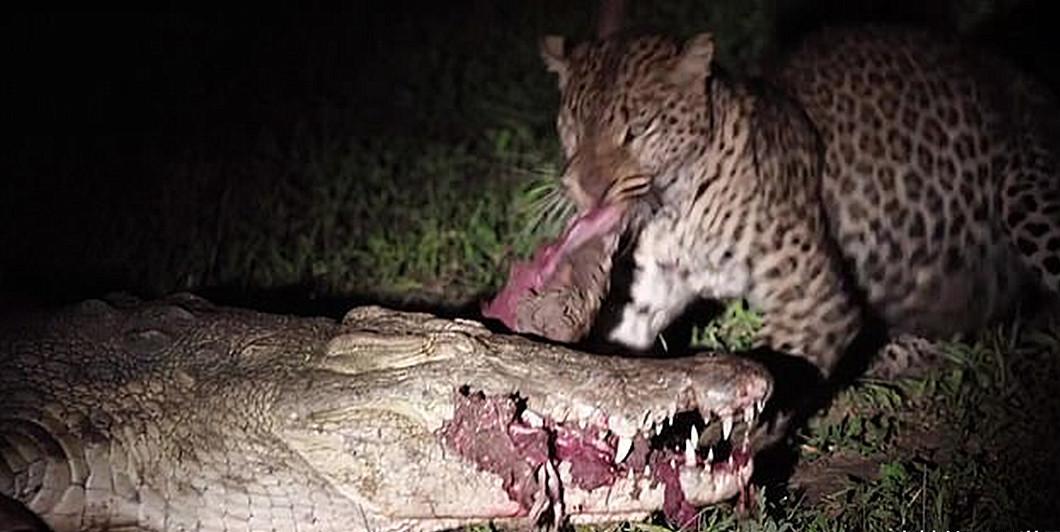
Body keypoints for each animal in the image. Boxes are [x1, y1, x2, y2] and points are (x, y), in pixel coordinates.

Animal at [538, 24, 1060, 421]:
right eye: (573, 128)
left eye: (637, 130)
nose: (586, 190)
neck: (674, 210)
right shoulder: (649, 294)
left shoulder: (814, 300)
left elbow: (772, 388)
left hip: (1026, 198)